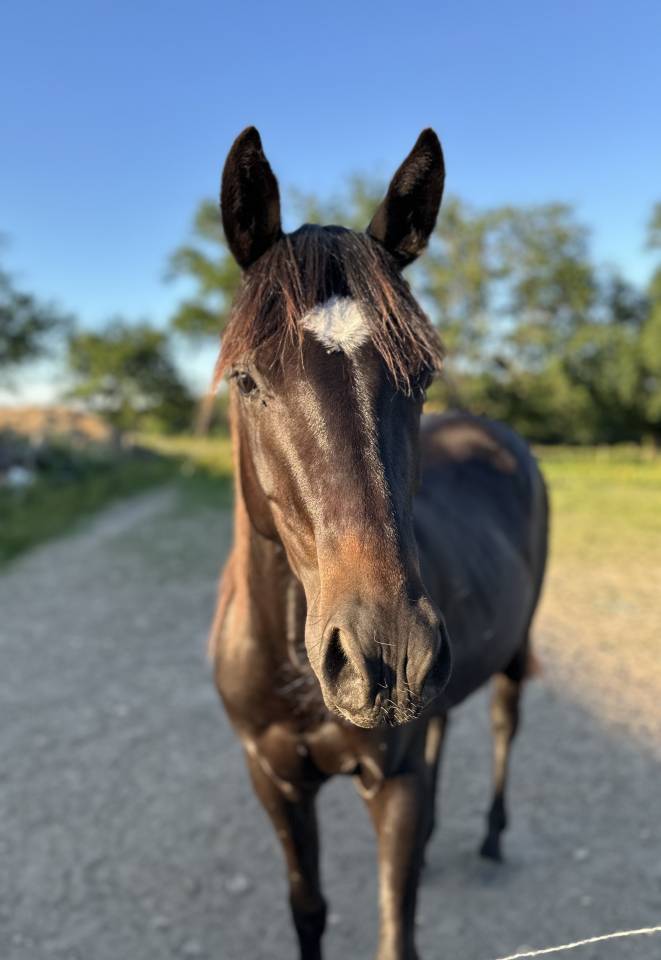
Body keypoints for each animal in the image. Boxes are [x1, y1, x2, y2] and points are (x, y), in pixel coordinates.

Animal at [210, 126, 548, 960]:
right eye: (247, 379)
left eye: (419, 375)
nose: (385, 657)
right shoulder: (273, 779)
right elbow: (307, 908)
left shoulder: (389, 783)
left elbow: (396, 932)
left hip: (514, 652)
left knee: (503, 724)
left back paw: (491, 837)